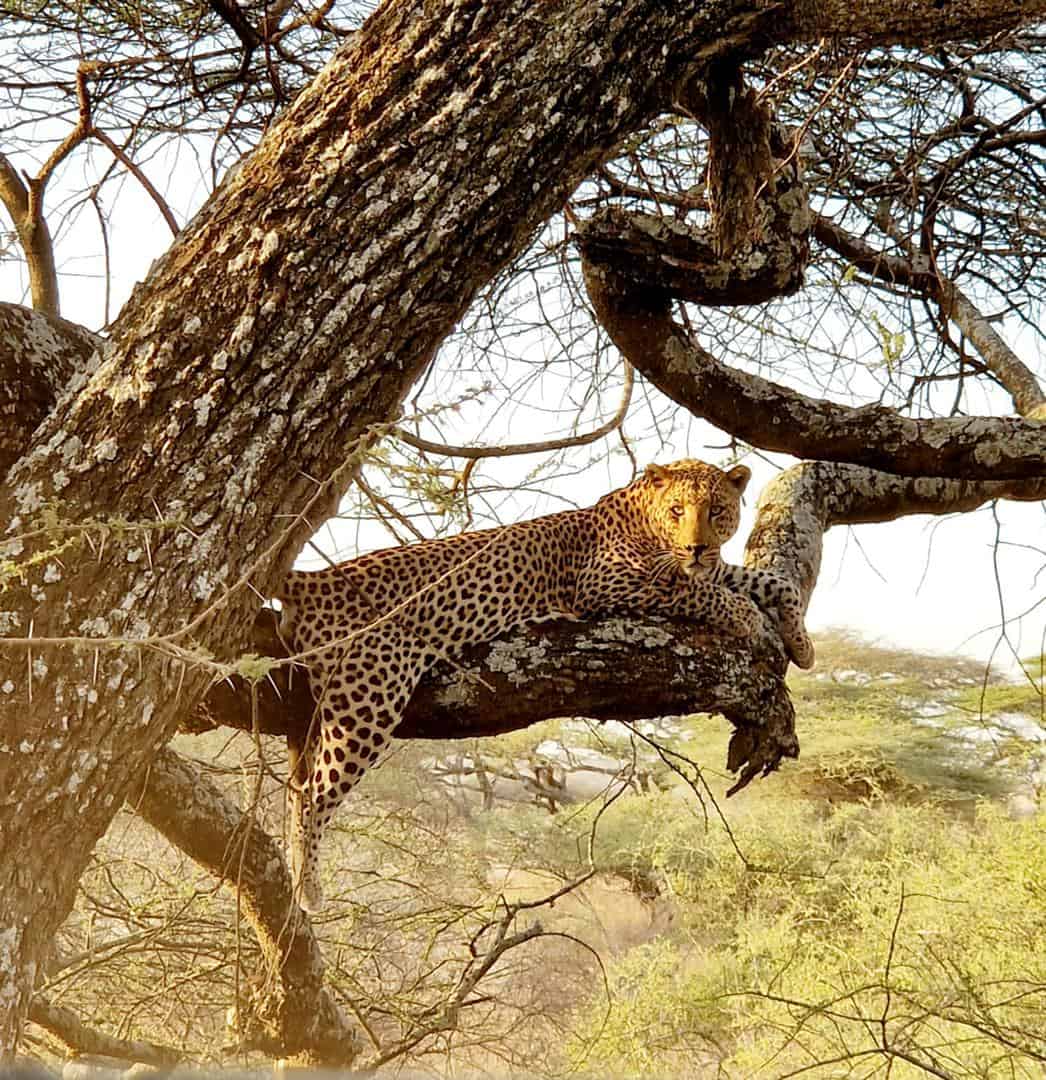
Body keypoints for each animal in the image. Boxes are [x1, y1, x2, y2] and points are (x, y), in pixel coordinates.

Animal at [277, 458, 814, 911]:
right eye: (678, 510)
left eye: (717, 510)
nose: (697, 546)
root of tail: (314, 579)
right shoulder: (610, 581)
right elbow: (699, 590)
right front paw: (751, 621)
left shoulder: (713, 567)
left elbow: (769, 583)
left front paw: (802, 643)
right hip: (369, 696)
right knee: (311, 795)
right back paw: (307, 888)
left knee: (294, 785)